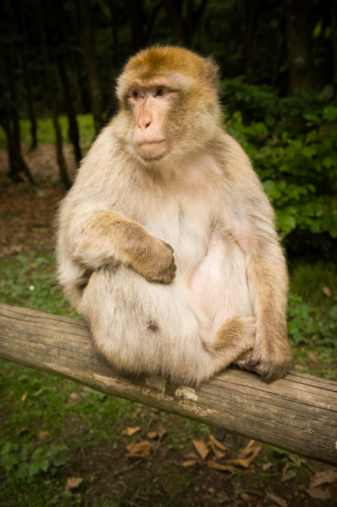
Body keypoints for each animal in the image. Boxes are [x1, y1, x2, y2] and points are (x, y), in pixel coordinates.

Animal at [55, 46, 292, 384]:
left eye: (160, 92)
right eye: (136, 95)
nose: (143, 122)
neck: (174, 161)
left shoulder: (231, 155)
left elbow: (257, 242)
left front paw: (274, 345)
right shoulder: (108, 150)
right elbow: (75, 230)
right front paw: (152, 253)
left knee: (229, 239)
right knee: (113, 273)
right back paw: (209, 356)